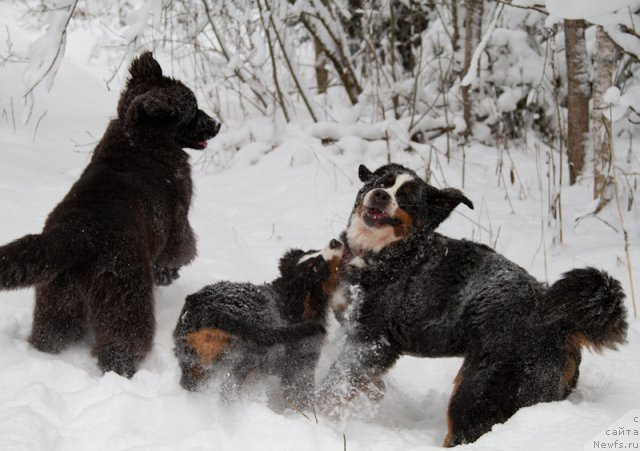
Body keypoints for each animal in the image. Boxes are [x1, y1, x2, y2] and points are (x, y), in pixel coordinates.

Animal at [0, 52, 220, 378]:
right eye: (192, 110)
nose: (217, 124)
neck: (139, 139)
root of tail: (75, 235)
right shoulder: (179, 222)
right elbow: (181, 250)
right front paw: (169, 273)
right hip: (124, 299)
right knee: (121, 346)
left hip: (56, 301)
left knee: (50, 335)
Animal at [174, 240, 344, 410]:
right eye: (317, 266)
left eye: (312, 251)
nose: (334, 242)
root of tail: (209, 310)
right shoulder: (301, 364)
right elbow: (300, 394)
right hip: (240, 363)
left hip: (191, 360)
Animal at [318, 164, 628, 446]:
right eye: (382, 182)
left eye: (405, 197)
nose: (381, 195)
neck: (385, 253)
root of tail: (558, 318)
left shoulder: (372, 341)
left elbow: (335, 384)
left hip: (477, 389)